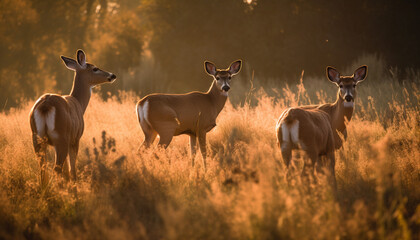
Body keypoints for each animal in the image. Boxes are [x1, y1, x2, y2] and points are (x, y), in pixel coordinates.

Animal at [29, 49, 116, 186]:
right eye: (95, 68)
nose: (112, 75)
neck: (79, 103)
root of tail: (45, 106)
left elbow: (66, 170)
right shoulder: (75, 138)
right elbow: (72, 169)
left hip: (37, 137)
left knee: (43, 168)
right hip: (61, 137)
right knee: (56, 168)